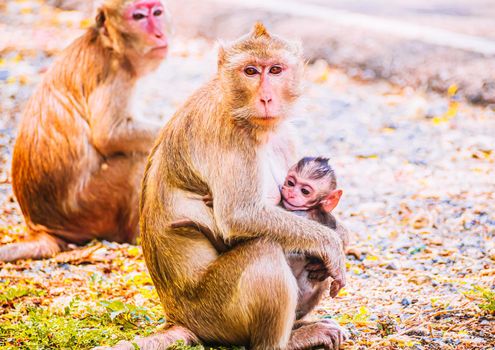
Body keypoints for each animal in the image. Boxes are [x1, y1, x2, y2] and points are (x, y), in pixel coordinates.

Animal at [0, 0, 170, 262]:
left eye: (157, 13)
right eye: (139, 17)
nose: (159, 33)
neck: (108, 44)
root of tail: (39, 227)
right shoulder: (115, 73)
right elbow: (108, 134)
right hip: (88, 208)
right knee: (137, 160)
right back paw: (136, 237)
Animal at [108, 22, 348, 350]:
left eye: (275, 70)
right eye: (250, 71)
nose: (266, 98)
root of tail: (176, 317)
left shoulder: (285, 134)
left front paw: (342, 235)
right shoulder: (228, 135)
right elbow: (240, 216)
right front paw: (333, 244)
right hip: (214, 314)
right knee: (264, 250)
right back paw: (285, 342)